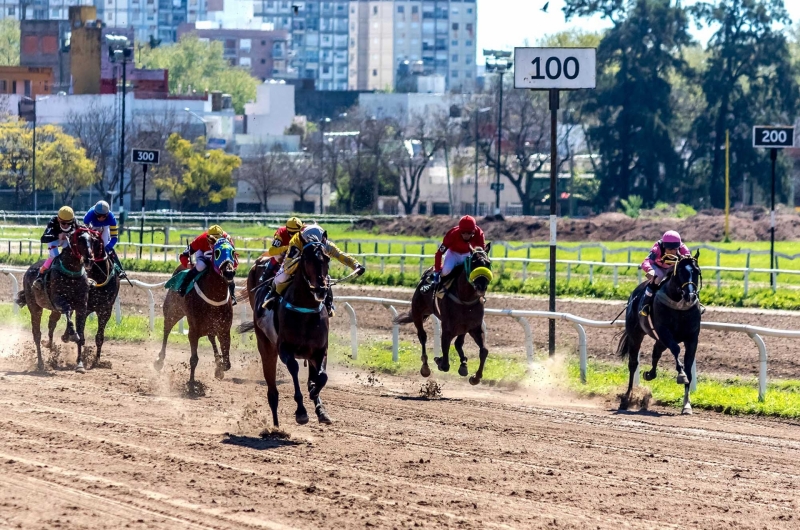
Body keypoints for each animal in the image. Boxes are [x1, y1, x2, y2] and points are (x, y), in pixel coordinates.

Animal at [14, 227, 100, 372]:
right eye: (79, 240)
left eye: (92, 240)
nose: (89, 259)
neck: (72, 273)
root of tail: (28, 270)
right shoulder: (59, 301)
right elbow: (68, 314)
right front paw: (71, 334)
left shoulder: (82, 306)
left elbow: (80, 333)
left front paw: (80, 364)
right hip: (35, 307)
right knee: (37, 334)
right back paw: (41, 363)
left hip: (53, 310)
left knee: (51, 323)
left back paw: (50, 345)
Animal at [155, 239, 238, 388]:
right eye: (217, 252)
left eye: (233, 252)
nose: (229, 273)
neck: (214, 296)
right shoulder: (193, 331)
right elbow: (194, 359)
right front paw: (192, 383)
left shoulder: (224, 330)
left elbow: (227, 363)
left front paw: (219, 369)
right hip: (172, 311)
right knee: (166, 330)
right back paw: (160, 360)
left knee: (211, 338)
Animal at [238, 238, 332, 424]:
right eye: (307, 259)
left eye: (327, 258)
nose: (321, 289)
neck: (305, 310)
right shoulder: (284, 349)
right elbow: (294, 369)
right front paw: (301, 411)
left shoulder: (319, 350)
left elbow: (322, 377)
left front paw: (317, 399)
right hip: (266, 347)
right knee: (272, 392)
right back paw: (275, 425)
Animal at [396, 243, 494, 384]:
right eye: (474, 263)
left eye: (488, 263)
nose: (482, 286)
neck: (465, 299)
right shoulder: (448, 328)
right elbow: (445, 361)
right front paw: (439, 360)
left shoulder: (475, 327)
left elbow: (484, 350)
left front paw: (475, 377)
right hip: (417, 312)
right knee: (422, 336)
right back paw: (426, 367)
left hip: (462, 327)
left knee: (459, 343)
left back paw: (463, 364)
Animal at [616, 252, 704, 412]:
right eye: (680, 272)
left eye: (697, 271)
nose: (690, 296)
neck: (679, 306)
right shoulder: (664, 331)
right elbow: (676, 349)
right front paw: (681, 374)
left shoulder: (692, 338)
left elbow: (689, 368)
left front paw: (687, 405)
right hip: (635, 334)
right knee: (633, 364)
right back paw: (626, 399)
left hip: (659, 340)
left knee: (656, 352)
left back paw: (649, 374)